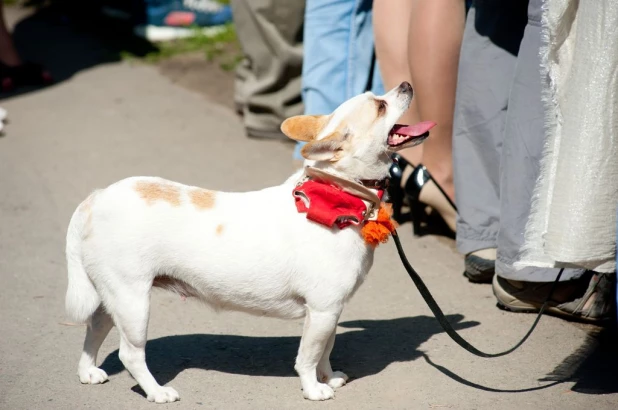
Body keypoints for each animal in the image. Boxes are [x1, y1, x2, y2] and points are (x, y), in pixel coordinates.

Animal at [63, 81, 428, 402]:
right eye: (380, 106)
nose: (407, 84)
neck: (339, 195)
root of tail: (96, 197)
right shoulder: (323, 310)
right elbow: (308, 355)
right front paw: (313, 388)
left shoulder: (330, 312)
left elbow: (327, 347)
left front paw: (329, 376)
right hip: (133, 301)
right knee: (130, 353)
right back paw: (157, 392)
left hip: (112, 298)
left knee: (94, 327)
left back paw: (87, 372)